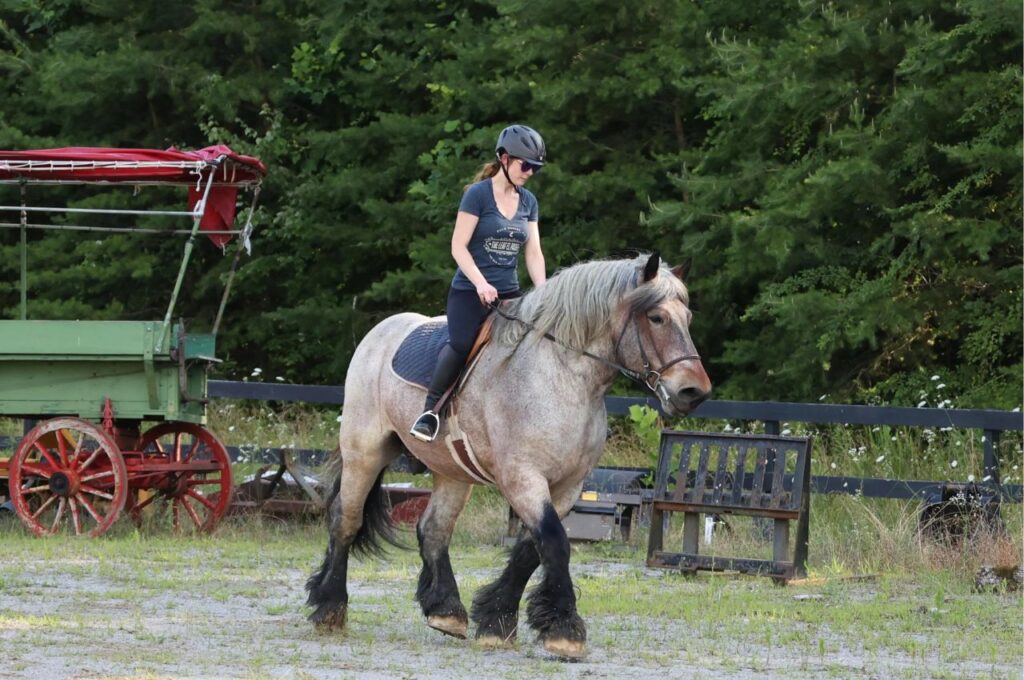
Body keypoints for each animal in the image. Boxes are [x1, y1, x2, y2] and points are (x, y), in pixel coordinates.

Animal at [305, 252, 711, 659]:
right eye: (657, 317)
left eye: (689, 318)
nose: (694, 392)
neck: (561, 377)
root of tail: (381, 331)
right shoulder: (523, 477)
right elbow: (554, 542)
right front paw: (564, 629)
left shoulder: (567, 487)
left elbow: (531, 550)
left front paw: (496, 620)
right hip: (364, 453)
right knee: (346, 520)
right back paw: (330, 607)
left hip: (453, 471)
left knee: (433, 529)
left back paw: (446, 611)